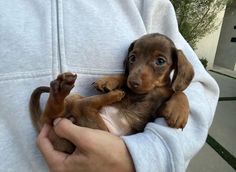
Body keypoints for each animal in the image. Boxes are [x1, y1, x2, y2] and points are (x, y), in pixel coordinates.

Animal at [29, 33, 194, 153]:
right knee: (71, 107)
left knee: (80, 107)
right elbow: (123, 76)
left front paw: (179, 110)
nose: (133, 82)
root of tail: (43, 124)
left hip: (98, 127)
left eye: (160, 61)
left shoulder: (156, 111)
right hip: (76, 106)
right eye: (132, 58)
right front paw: (108, 80)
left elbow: (179, 92)